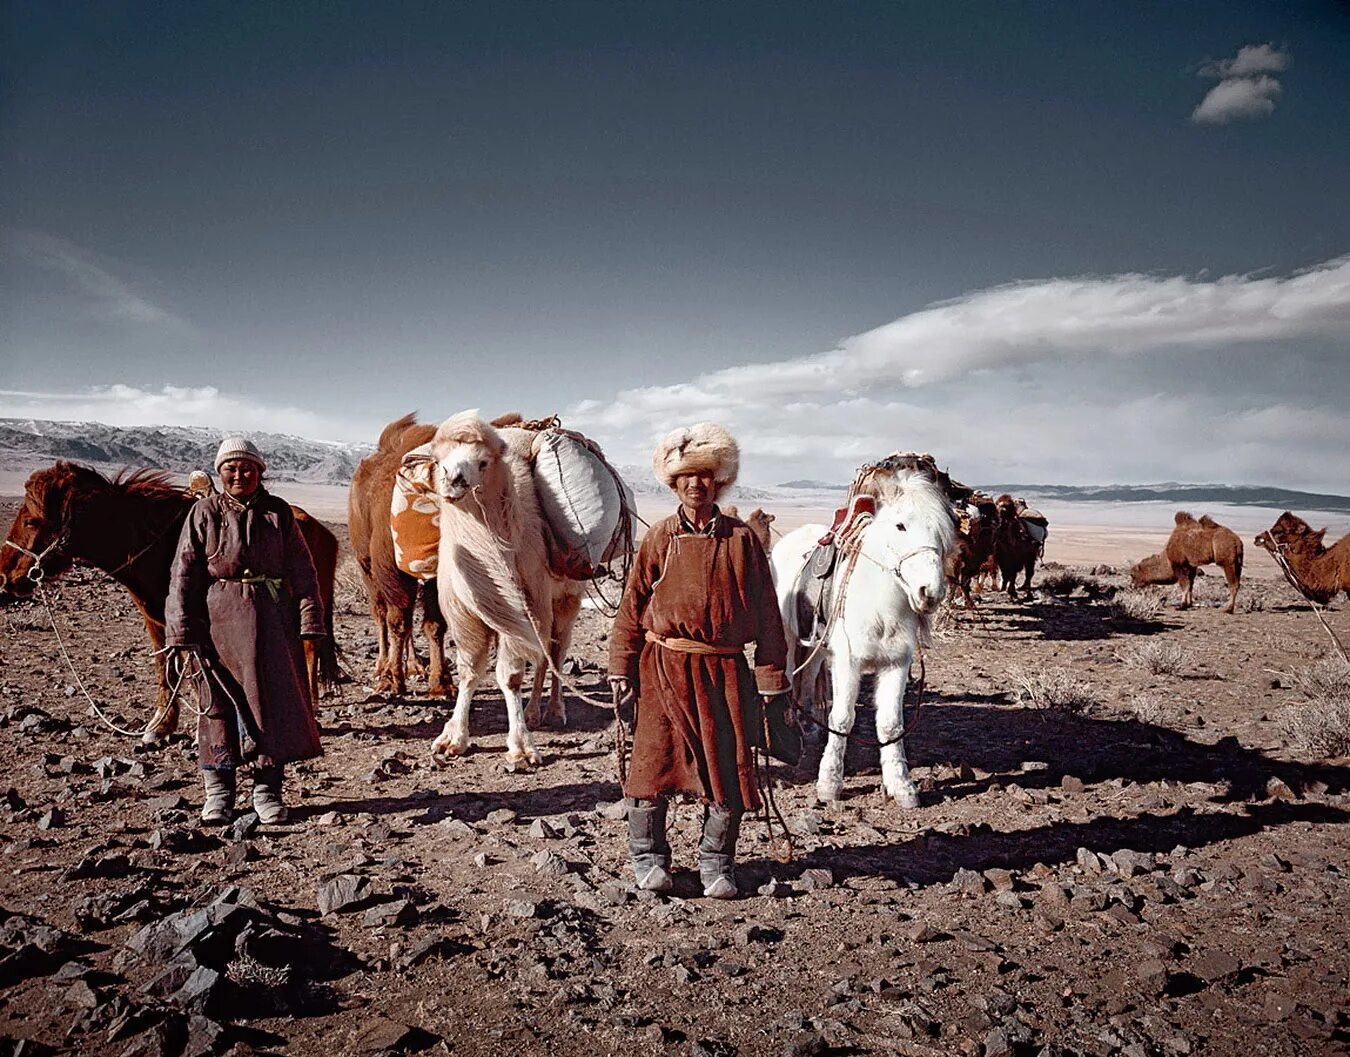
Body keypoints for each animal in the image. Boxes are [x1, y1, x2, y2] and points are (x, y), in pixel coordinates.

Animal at [1, 461, 337, 745]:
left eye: (31, 521)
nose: (6, 575)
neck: (159, 544)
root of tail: (323, 529)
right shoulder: (158, 620)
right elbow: (165, 667)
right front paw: (161, 725)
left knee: (310, 648)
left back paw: (312, 707)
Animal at [429, 410, 583, 766]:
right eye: (438, 459)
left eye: (483, 462)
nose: (453, 479)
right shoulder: (467, 613)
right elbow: (469, 671)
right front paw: (452, 738)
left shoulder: (526, 605)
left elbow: (510, 676)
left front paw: (522, 748)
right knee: (544, 656)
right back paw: (535, 712)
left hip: (566, 600)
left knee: (556, 651)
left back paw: (552, 711)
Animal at [772, 467, 961, 804]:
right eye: (900, 525)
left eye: (941, 530)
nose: (930, 592)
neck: (879, 606)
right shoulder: (848, 662)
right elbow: (842, 718)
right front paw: (829, 784)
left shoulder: (896, 664)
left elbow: (890, 724)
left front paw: (902, 786)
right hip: (789, 639)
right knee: (791, 677)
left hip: (818, 645)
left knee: (808, 678)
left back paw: (810, 728)